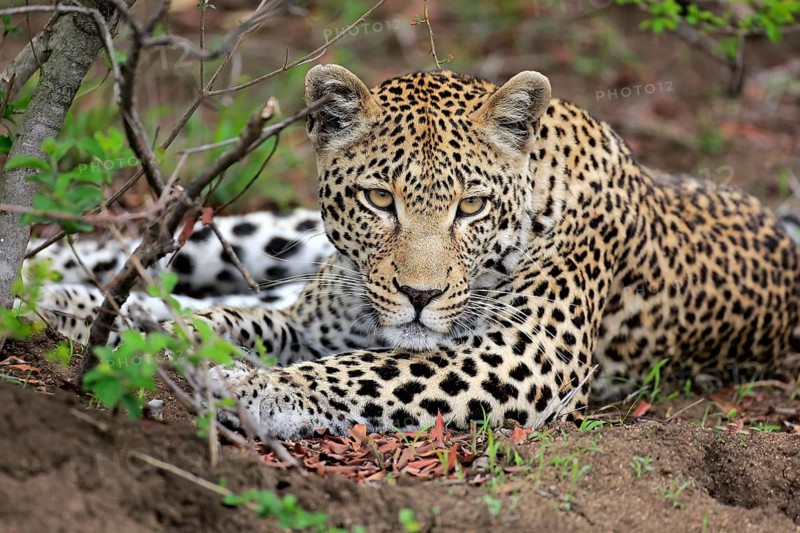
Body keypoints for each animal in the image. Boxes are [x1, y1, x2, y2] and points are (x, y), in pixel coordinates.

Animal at [28, 64, 800, 440]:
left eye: (471, 207)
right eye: (379, 199)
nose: (420, 296)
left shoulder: (529, 354)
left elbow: (374, 370)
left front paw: (255, 388)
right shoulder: (316, 322)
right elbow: (239, 322)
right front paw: (187, 347)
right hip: (284, 240)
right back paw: (52, 286)